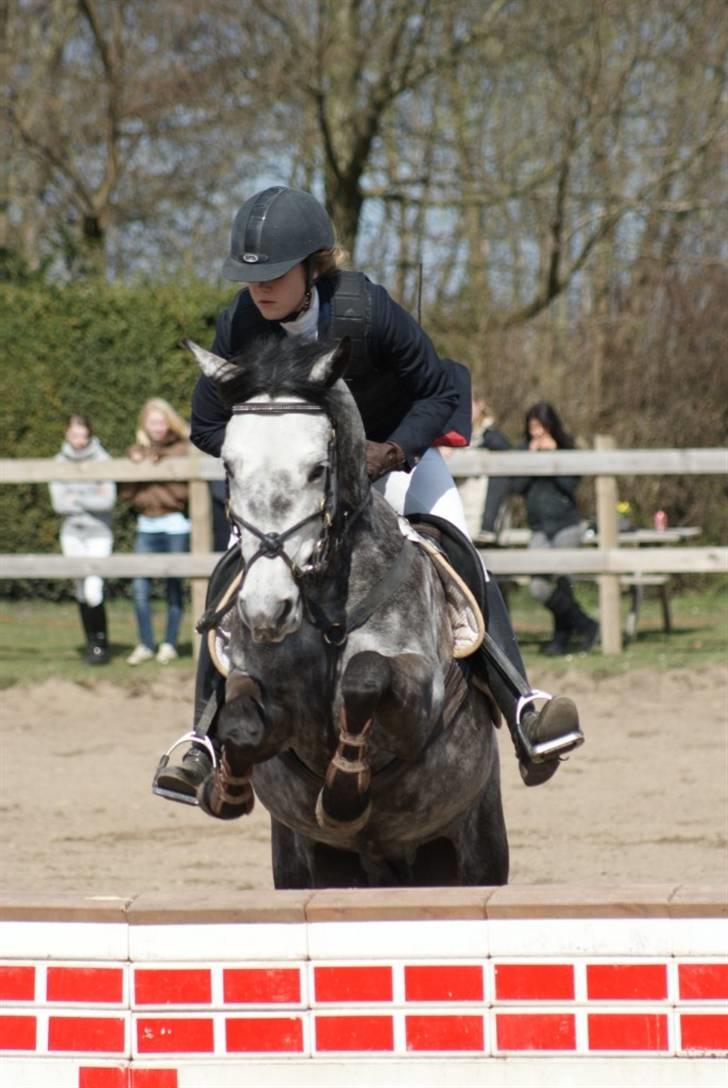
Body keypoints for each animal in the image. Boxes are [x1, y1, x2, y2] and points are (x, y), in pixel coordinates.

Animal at [186, 335, 509, 889]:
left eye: (318, 468)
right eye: (229, 467)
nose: (267, 610)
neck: (324, 611)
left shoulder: (420, 701)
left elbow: (366, 675)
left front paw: (343, 790)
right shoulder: (263, 689)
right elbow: (240, 722)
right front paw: (227, 787)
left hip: (479, 847)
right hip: (303, 864)